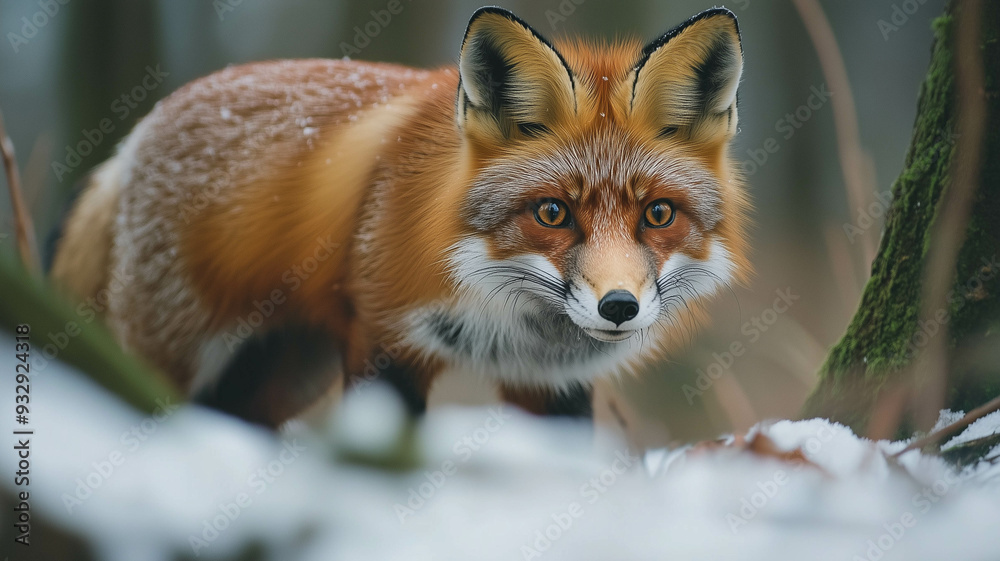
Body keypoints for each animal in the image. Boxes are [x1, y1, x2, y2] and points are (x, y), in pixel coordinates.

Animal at [50, 7, 750, 427]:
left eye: (658, 213)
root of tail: (136, 135)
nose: (619, 307)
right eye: (552, 212)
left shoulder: (551, 384)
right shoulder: (387, 340)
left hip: (286, 373)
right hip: (171, 356)